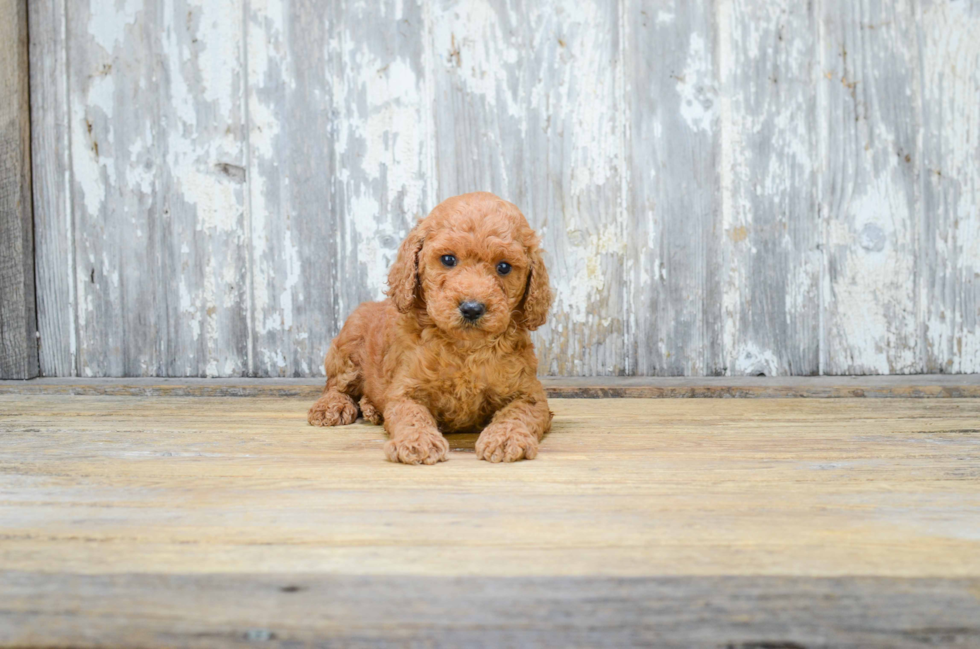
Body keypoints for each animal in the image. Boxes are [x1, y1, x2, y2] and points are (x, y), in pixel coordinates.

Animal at [308, 190, 552, 464]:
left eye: (504, 267)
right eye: (448, 259)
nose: (472, 308)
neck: (465, 348)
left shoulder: (530, 393)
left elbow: (518, 413)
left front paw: (506, 437)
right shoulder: (406, 390)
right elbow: (410, 414)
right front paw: (417, 441)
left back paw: (372, 409)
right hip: (348, 345)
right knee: (336, 385)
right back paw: (332, 406)